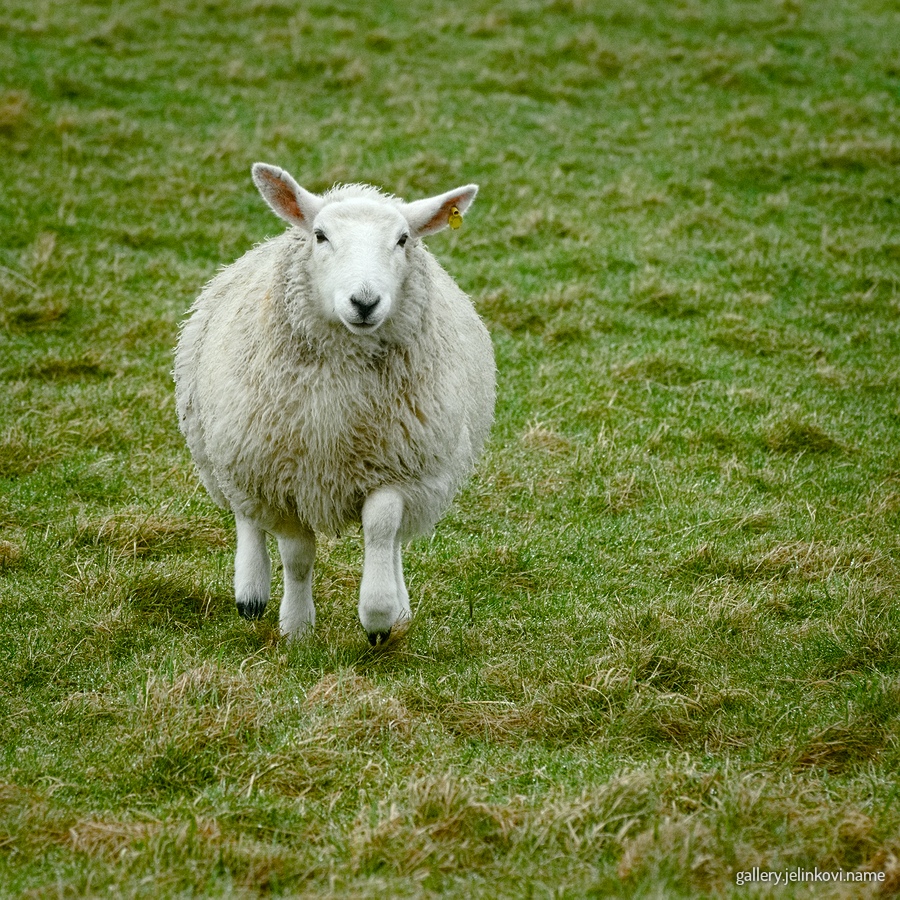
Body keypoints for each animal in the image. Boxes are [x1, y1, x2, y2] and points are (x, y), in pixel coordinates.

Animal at [174, 163, 496, 645]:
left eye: (403, 239)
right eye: (321, 235)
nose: (364, 302)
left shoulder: (397, 467)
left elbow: (381, 529)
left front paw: (378, 615)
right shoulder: (283, 476)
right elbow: (297, 555)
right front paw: (297, 627)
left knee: (392, 540)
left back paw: (398, 608)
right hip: (227, 449)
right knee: (246, 515)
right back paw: (251, 592)